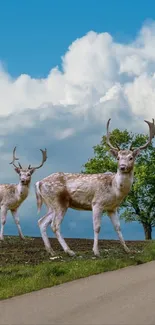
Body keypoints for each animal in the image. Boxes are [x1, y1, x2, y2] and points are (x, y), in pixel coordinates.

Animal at [35, 117, 155, 256]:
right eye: (118, 157)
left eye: (131, 157)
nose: (122, 167)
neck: (115, 190)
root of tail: (39, 183)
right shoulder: (97, 203)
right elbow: (97, 227)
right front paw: (96, 251)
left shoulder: (112, 208)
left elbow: (118, 227)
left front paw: (127, 249)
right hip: (59, 202)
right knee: (55, 225)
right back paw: (69, 251)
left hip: (50, 204)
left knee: (42, 222)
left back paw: (51, 251)